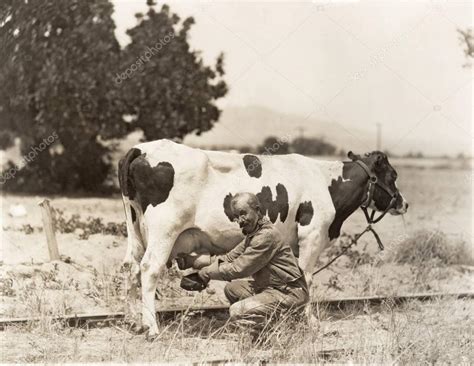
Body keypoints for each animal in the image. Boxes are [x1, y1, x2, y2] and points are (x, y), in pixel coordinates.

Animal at [117, 139, 408, 338]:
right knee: (149, 269)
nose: (403, 203)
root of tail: (141, 148)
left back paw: (133, 321)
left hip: (135, 228)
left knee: (131, 267)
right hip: (164, 231)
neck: (326, 182)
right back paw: (152, 327)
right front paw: (311, 322)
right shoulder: (312, 235)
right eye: (393, 175)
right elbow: (307, 278)